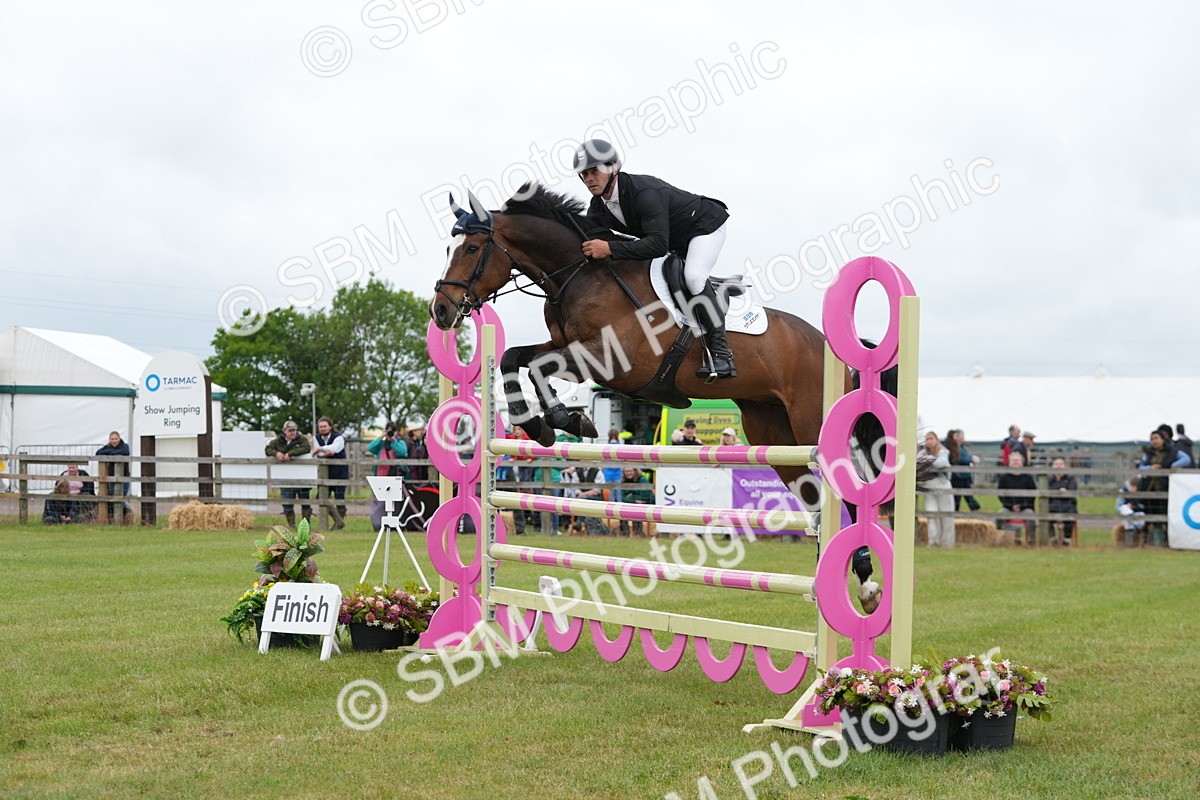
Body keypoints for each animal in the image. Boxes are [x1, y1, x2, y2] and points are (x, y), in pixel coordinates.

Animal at [430, 184, 888, 506]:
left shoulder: (612, 362)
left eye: (472, 248)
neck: (579, 274)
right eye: (449, 248)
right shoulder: (567, 345)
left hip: (809, 421)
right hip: (773, 430)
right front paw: (542, 425)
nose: (441, 310)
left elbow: (540, 367)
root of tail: (831, 350)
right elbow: (514, 358)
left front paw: (566, 420)